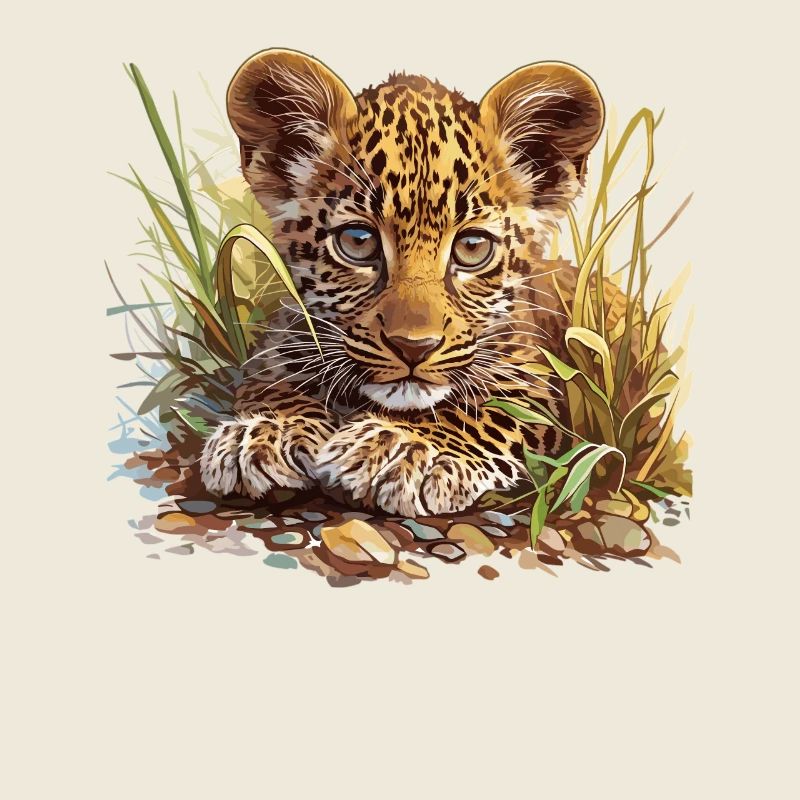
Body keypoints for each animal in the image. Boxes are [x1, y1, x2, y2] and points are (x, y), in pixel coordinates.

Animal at [200, 47, 622, 517]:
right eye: (358, 241)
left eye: (472, 247)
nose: (413, 347)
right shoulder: (280, 345)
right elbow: (270, 385)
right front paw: (268, 433)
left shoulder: (536, 380)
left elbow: (483, 412)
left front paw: (405, 447)